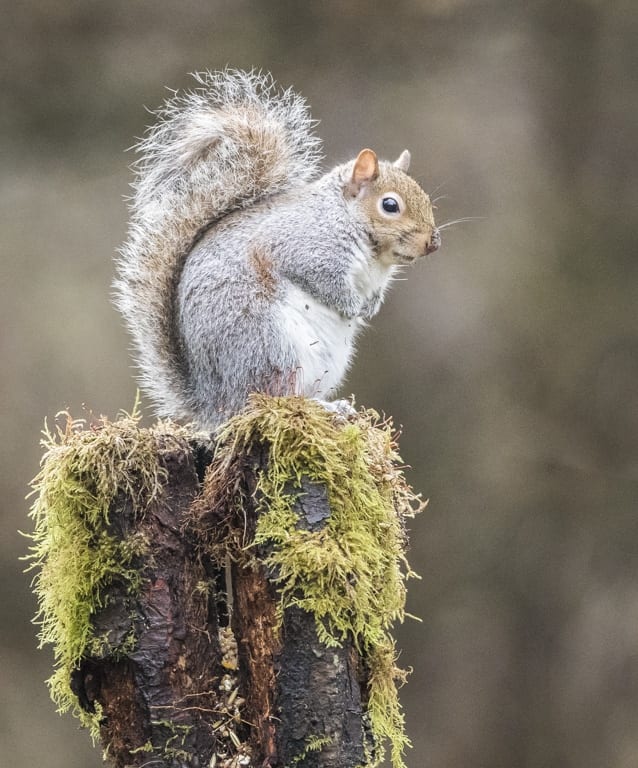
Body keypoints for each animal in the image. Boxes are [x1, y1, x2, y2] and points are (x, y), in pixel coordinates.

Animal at [114, 70, 440, 432]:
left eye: (426, 198)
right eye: (390, 205)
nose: (432, 242)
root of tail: (214, 406)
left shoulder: (374, 278)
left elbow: (374, 292)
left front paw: (370, 306)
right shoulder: (305, 249)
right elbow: (326, 283)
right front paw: (352, 306)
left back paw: (333, 406)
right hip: (269, 345)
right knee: (270, 397)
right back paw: (320, 407)